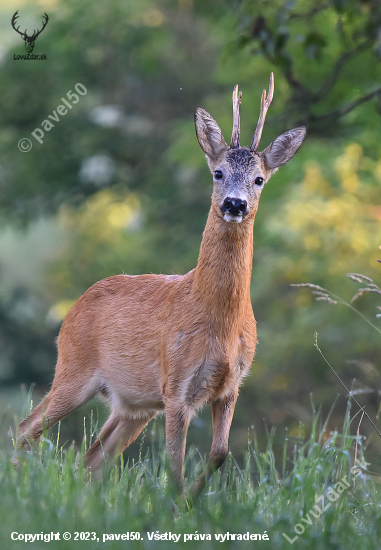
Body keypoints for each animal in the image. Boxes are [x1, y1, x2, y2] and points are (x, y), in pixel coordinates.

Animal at [12, 71, 306, 498]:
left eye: (259, 179)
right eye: (218, 173)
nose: (235, 204)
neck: (219, 319)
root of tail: (73, 309)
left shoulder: (231, 384)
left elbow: (219, 453)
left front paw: (194, 502)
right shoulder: (176, 384)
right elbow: (174, 469)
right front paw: (178, 503)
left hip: (133, 404)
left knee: (92, 457)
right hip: (73, 370)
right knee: (26, 430)